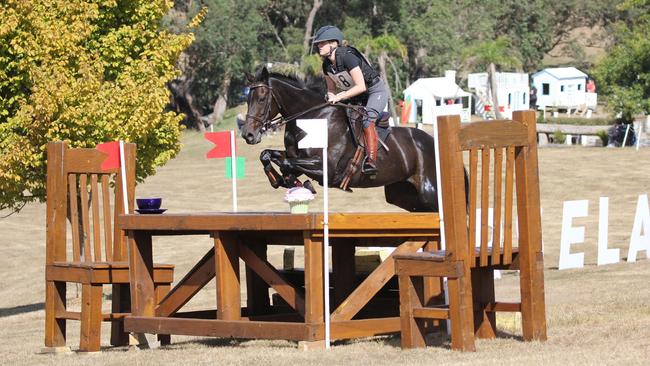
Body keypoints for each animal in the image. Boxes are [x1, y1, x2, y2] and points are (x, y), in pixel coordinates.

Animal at [240, 66, 438, 212]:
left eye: (262, 99)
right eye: (247, 100)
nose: (248, 135)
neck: (312, 118)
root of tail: (431, 141)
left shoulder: (326, 168)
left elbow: (287, 164)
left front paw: (295, 182)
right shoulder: (295, 155)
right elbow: (267, 155)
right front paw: (282, 180)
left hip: (428, 193)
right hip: (403, 194)